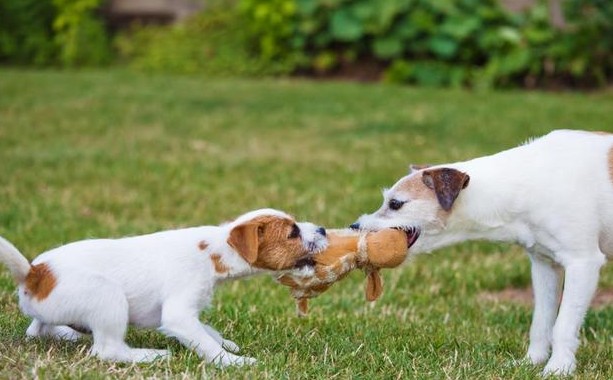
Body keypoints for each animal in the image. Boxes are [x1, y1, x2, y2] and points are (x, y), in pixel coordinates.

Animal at [0, 209, 328, 366]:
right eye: (292, 233)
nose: (324, 229)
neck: (215, 249)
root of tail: (34, 274)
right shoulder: (178, 314)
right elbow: (204, 342)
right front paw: (235, 362)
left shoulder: (180, 314)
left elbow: (208, 331)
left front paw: (226, 343)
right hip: (108, 296)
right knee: (107, 350)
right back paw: (149, 356)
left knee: (37, 329)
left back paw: (67, 333)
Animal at [352, 130, 608, 374]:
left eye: (395, 204)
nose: (354, 226)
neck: (524, 185)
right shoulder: (544, 265)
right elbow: (541, 322)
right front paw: (531, 362)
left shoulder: (582, 263)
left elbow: (563, 324)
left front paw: (558, 368)